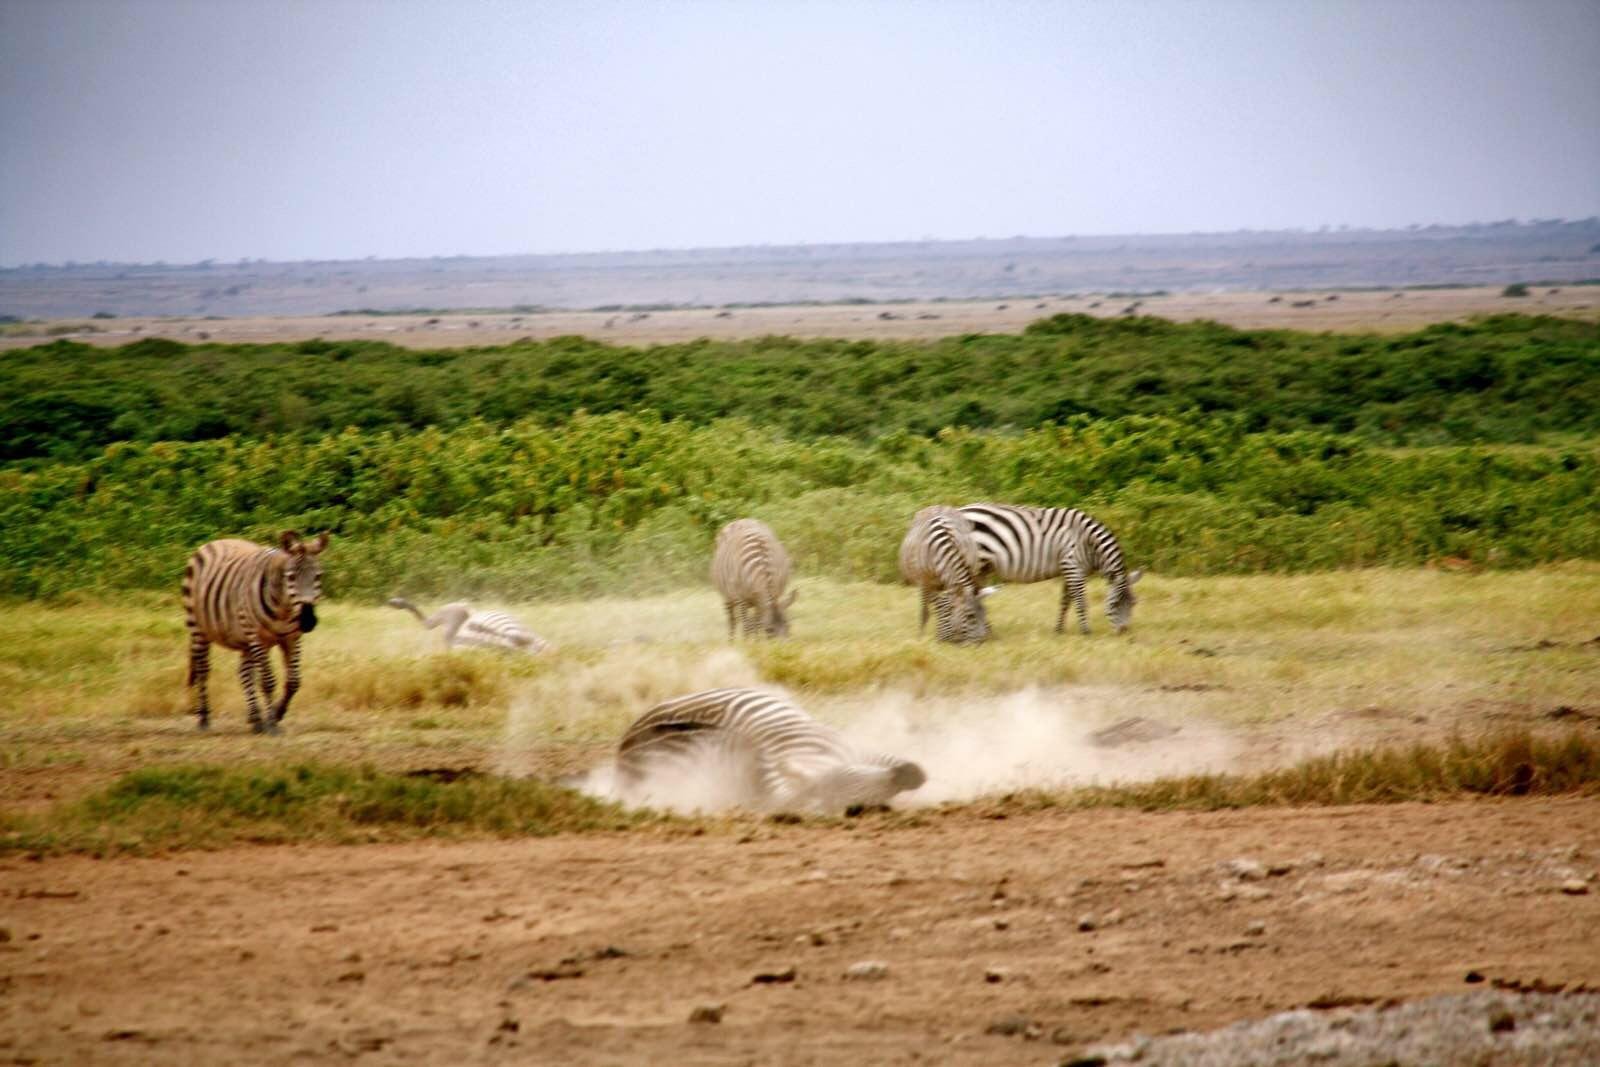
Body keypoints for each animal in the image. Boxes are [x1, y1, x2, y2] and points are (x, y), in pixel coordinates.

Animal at [183, 527, 329, 735]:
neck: (284, 609)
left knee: (244, 673)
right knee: (203, 670)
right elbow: (268, 681)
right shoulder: (259, 637)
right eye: (291, 577)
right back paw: (204, 718)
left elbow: (293, 681)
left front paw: (277, 714)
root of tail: (216, 541)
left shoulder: (292, 638)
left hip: (245, 639)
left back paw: (255, 718)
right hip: (199, 629)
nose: (307, 621)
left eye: (318, 576)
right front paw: (272, 723)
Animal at [611, 687, 928, 812]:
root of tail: (624, 747)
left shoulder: (852, 748)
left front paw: (912, 772)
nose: (896, 779)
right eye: (851, 807)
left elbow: (910, 769)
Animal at [896, 508, 992, 646]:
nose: (981, 642)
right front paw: (923, 638)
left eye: (985, 612)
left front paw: (953, 633)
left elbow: (951, 607)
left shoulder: (959, 574)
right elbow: (927, 612)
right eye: (970, 616)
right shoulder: (925, 581)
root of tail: (937, 506)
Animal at [953, 502, 1145, 633]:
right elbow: (1080, 601)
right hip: (972, 562)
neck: (1089, 544)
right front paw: (1086, 631)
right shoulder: (1072, 565)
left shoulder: (1070, 569)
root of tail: (961, 510)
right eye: (1114, 604)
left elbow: (1065, 601)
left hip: (982, 567)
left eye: (1134, 603)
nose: (1124, 632)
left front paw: (1059, 629)